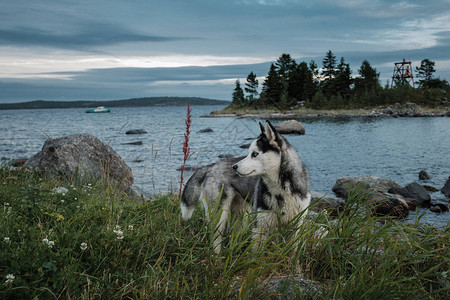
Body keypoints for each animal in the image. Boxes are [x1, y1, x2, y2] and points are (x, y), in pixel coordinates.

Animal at [180, 119, 310, 253]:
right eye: (248, 153)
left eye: (254, 154)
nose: (234, 167)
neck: (281, 190)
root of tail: (211, 166)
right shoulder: (260, 227)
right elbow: (256, 254)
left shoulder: (296, 227)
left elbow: (292, 252)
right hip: (220, 215)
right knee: (215, 238)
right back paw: (216, 257)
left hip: (240, 214)